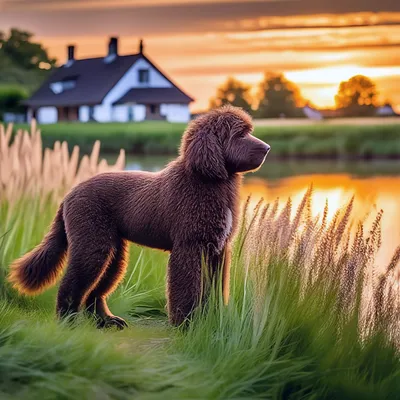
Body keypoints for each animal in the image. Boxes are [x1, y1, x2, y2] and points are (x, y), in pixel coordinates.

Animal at [9, 105, 270, 328]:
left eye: (248, 131)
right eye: (239, 134)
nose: (267, 148)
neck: (206, 180)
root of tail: (69, 194)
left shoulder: (217, 250)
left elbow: (215, 289)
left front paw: (213, 319)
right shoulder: (189, 247)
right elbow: (187, 289)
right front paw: (186, 324)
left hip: (114, 251)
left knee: (97, 291)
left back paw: (107, 321)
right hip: (92, 244)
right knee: (72, 283)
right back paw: (68, 322)